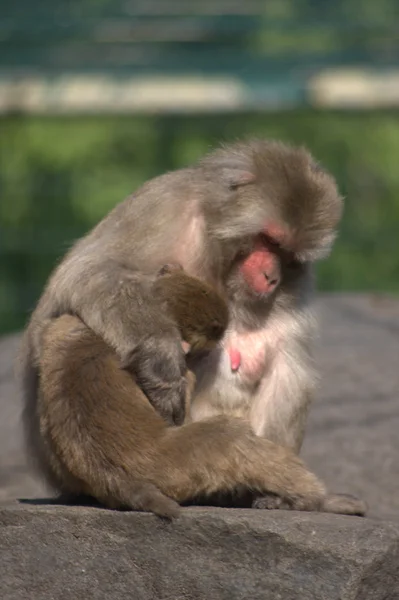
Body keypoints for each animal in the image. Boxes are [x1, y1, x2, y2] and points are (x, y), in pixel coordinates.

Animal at [22, 141, 344, 474]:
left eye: (290, 257)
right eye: (269, 241)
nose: (272, 278)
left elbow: (288, 366)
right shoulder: (162, 205)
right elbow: (85, 272)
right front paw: (160, 357)